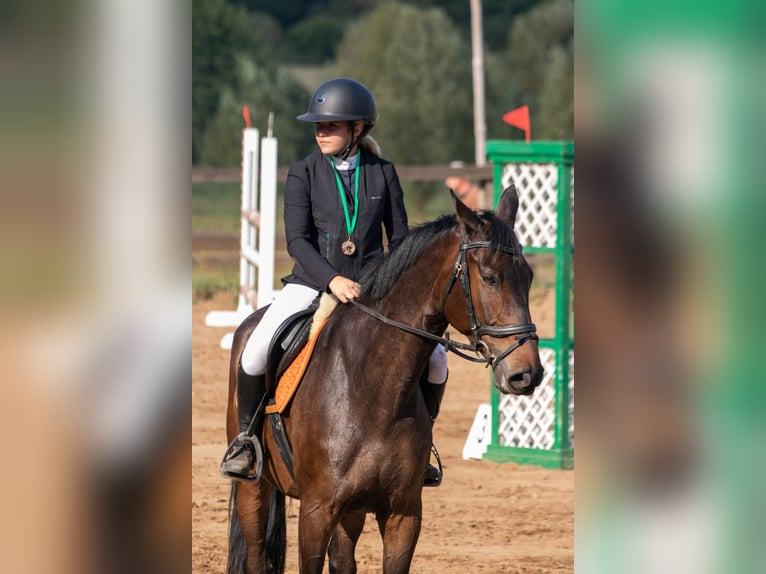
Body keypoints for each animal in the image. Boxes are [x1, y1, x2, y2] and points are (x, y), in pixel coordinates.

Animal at [225, 184, 544, 573]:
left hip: (352, 510)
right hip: (253, 489)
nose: (527, 374)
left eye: (528, 277)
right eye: (489, 278)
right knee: (256, 553)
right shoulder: (316, 511)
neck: (373, 389)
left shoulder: (403, 514)